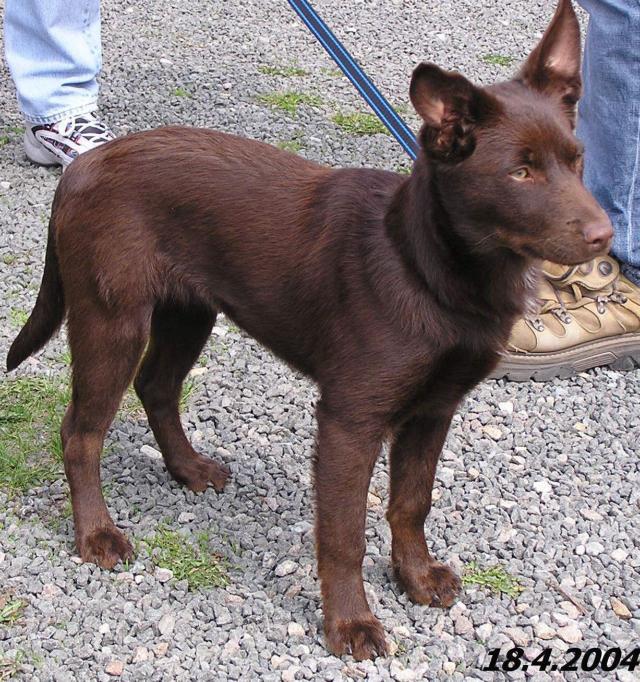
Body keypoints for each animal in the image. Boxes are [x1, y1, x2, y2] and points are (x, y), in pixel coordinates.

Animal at [7, 0, 611, 660]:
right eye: (520, 173)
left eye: (577, 160)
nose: (605, 236)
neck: (426, 265)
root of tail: (84, 166)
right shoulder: (350, 419)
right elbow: (344, 535)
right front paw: (350, 623)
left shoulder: (435, 409)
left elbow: (411, 503)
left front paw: (415, 577)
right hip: (111, 320)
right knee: (81, 432)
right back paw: (96, 534)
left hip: (189, 311)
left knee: (158, 387)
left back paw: (188, 468)